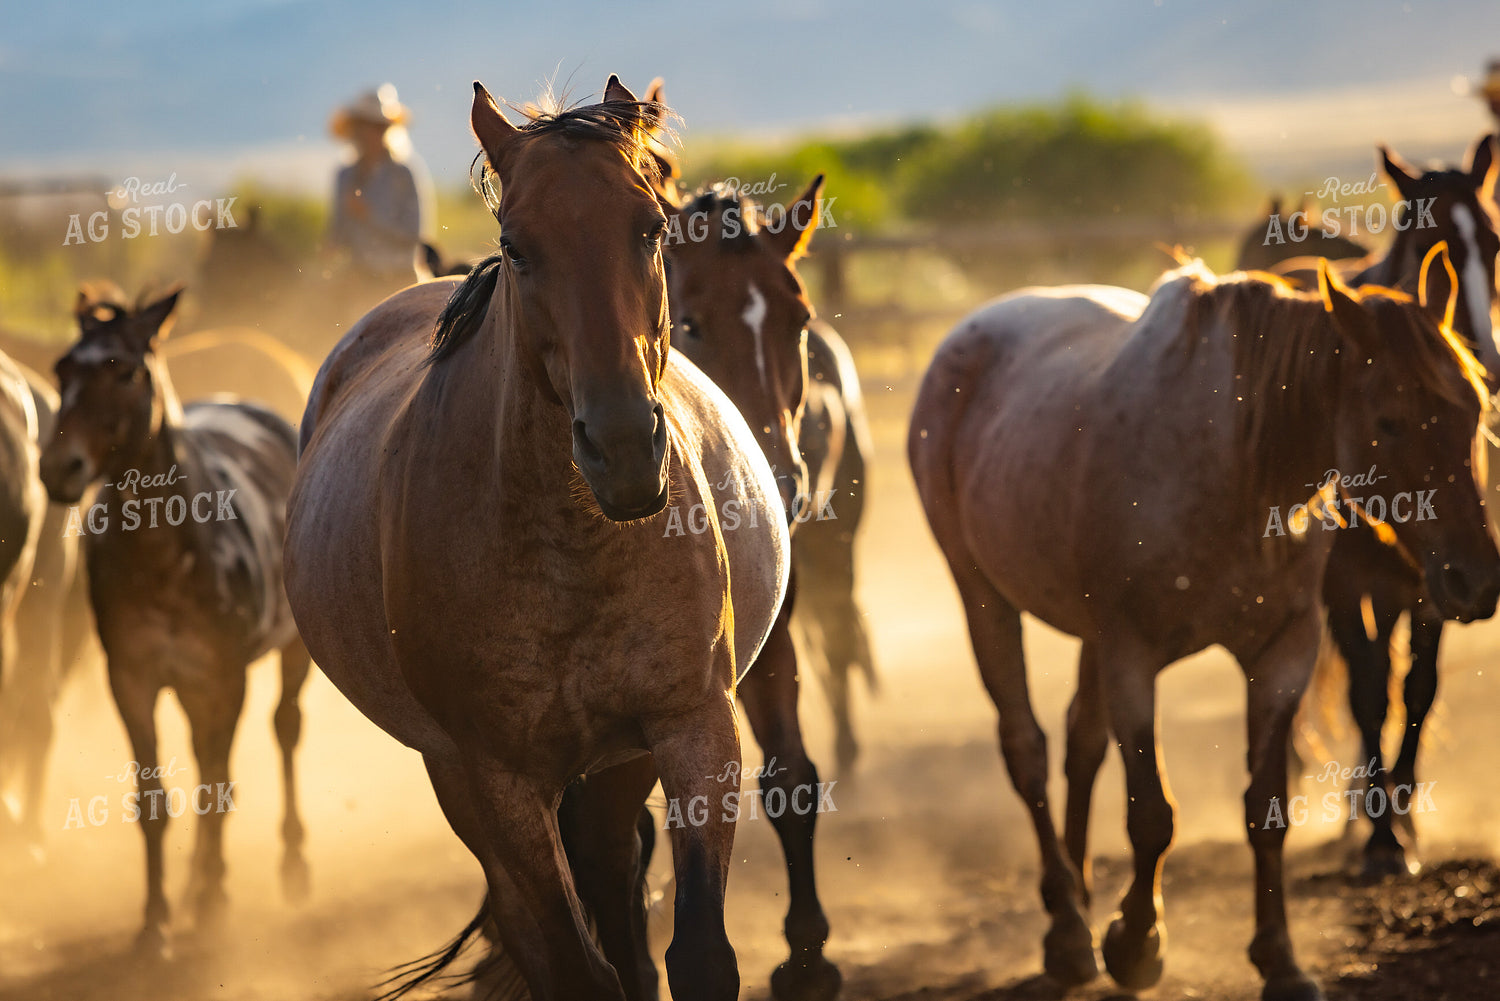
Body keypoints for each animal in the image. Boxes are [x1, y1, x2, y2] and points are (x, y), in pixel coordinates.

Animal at [37, 283, 311, 956]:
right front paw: (156, 919)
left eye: (125, 370)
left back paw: (290, 865)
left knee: (286, 727)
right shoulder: (131, 679)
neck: (164, 554)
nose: (59, 468)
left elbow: (219, 784)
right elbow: (155, 799)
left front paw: (212, 902)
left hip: (288, 653)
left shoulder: (225, 679)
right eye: (63, 369)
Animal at [283, 77, 790, 1001]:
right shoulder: (496, 778)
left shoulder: (693, 723)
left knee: (615, 887)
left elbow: (698, 953)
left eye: (651, 227)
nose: (623, 446)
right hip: (459, 780)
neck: (573, 549)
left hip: (617, 764)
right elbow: (571, 963)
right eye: (516, 248)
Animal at [908, 244, 1499, 1001]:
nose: (1475, 580)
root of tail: (965, 335)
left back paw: (1079, 897)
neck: (1240, 467)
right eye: (1390, 420)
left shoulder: (1281, 655)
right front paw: (1136, 942)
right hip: (981, 594)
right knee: (1028, 749)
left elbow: (1266, 807)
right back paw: (1068, 928)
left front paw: (1280, 959)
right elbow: (1151, 813)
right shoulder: (1132, 655)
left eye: (1473, 407)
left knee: (1079, 744)